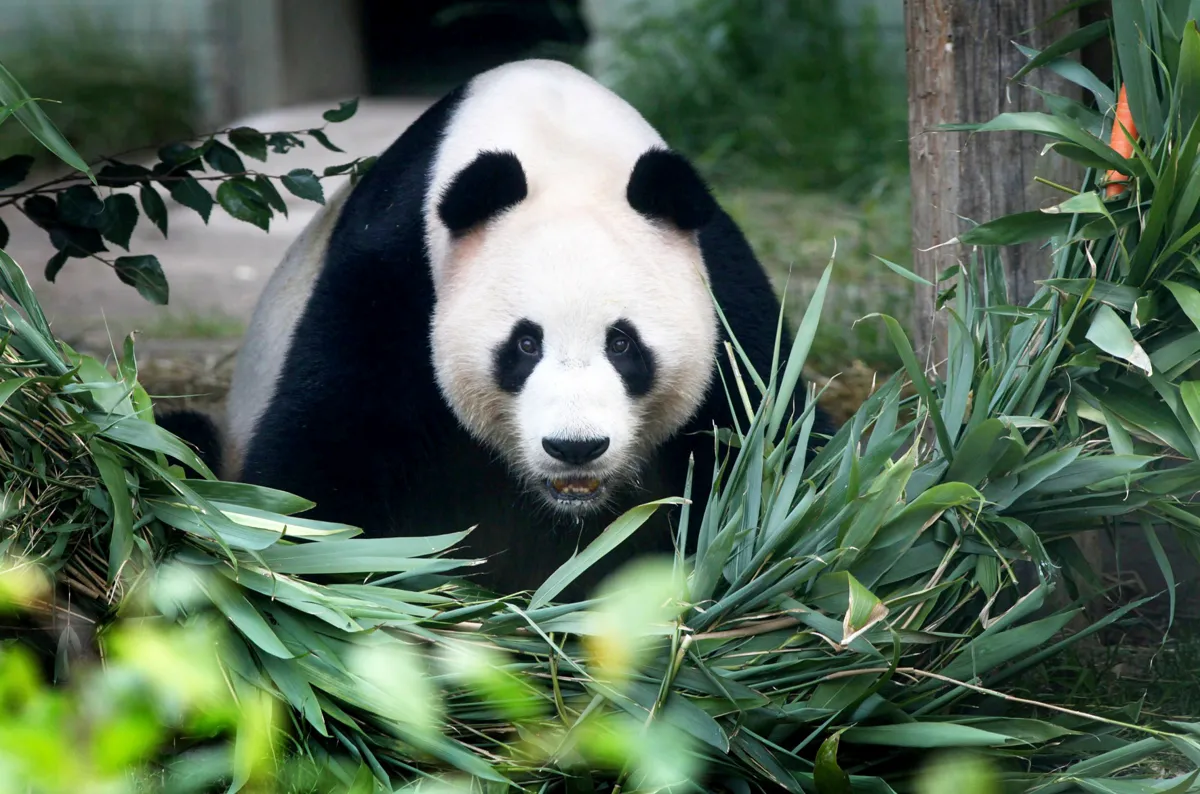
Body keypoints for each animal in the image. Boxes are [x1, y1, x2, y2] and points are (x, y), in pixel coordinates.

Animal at [157, 59, 835, 599]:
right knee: (184, 439)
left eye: (623, 344)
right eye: (525, 344)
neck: (555, 142)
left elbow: (778, 434)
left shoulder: (720, 283)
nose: (575, 447)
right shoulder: (395, 273)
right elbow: (326, 445)